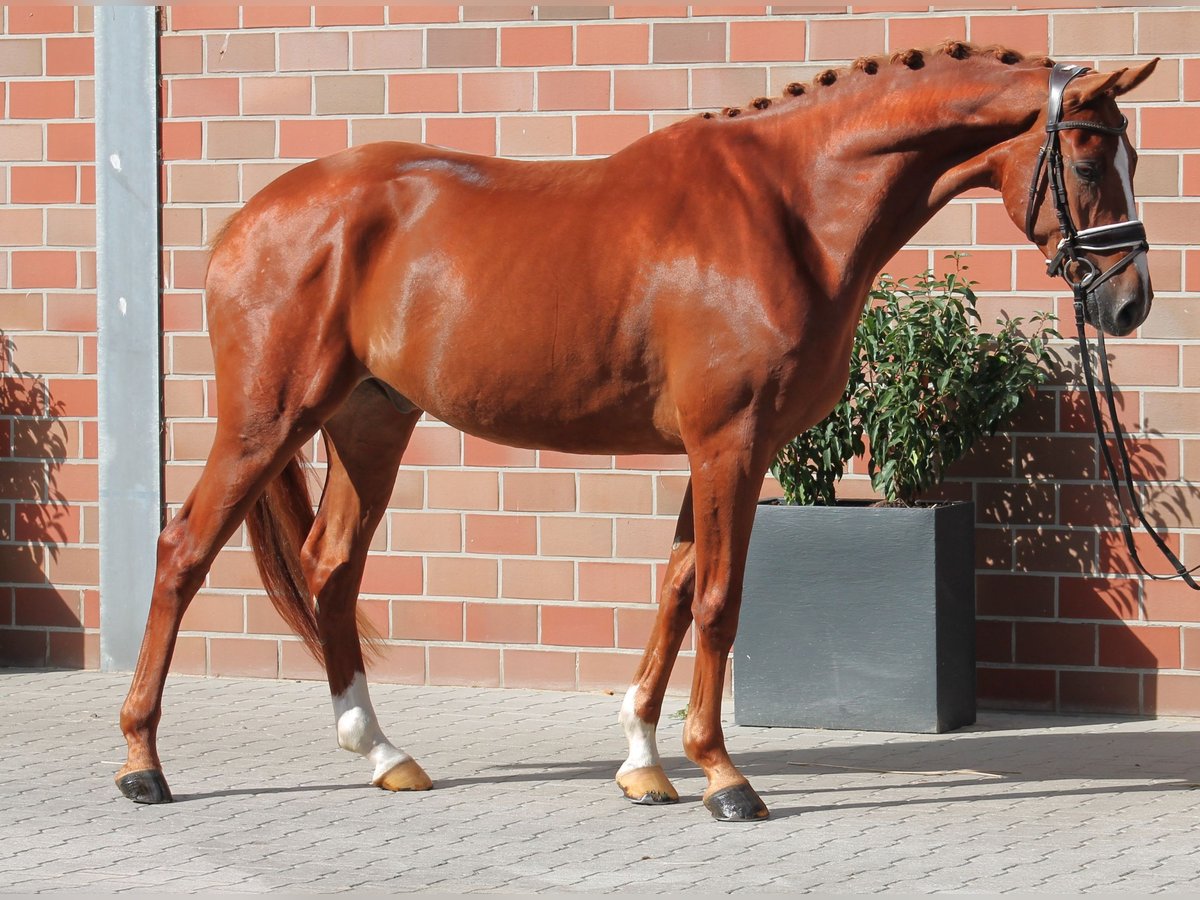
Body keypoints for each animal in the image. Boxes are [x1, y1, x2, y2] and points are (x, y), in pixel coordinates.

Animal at [117, 47, 1156, 825]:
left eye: (1129, 157)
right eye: (1089, 159)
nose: (1130, 304)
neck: (790, 209)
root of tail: (249, 220)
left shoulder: (719, 448)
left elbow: (676, 589)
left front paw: (645, 763)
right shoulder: (730, 440)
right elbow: (720, 601)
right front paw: (724, 777)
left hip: (371, 422)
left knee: (330, 568)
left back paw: (381, 752)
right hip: (267, 419)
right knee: (181, 551)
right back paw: (142, 762)